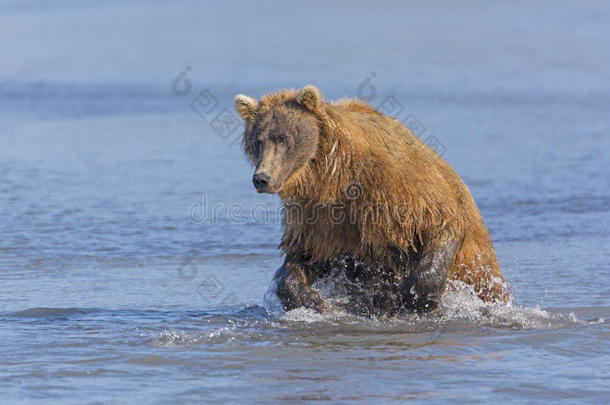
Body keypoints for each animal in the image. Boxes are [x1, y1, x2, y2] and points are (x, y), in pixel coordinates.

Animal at [233, 84, 508, 312]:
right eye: (257, 140)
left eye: (283, 139)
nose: (262, 178)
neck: (332, 175)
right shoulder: (320, 217)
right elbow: (305, 256)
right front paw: (309, 298)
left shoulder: (397, 185)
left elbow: (441, 221)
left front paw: (417, 294)